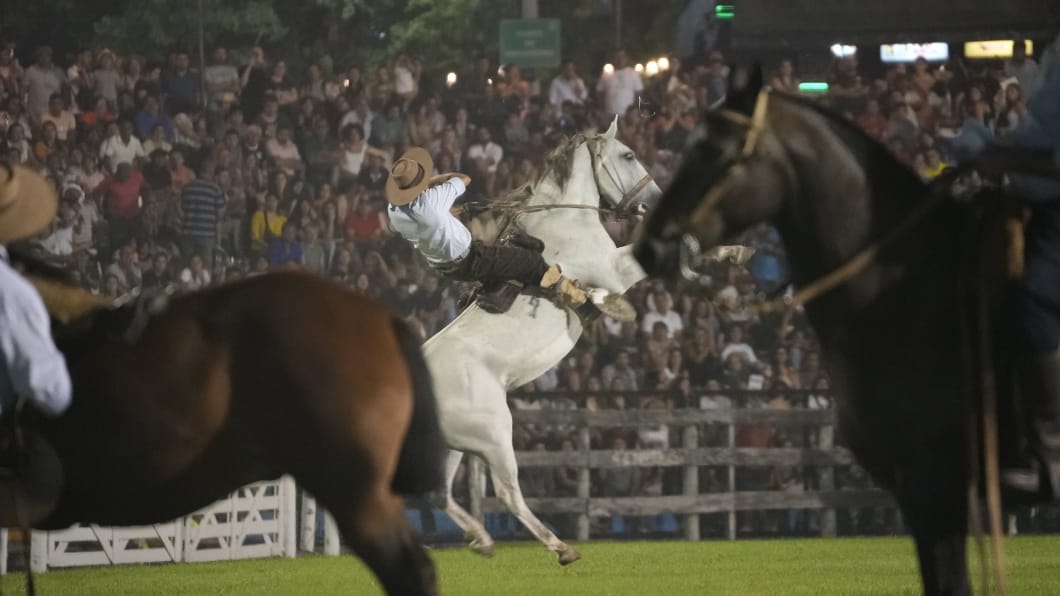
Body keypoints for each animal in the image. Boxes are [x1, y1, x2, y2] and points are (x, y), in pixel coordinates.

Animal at [419, 118, 652, 564]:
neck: (564, 220)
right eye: (628, 154)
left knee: (439, 494)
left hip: (449, 446)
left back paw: (482, 538)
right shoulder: (615, 270)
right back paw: (559, 547)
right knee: (509, 493)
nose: (652, 201)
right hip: (493, 435)